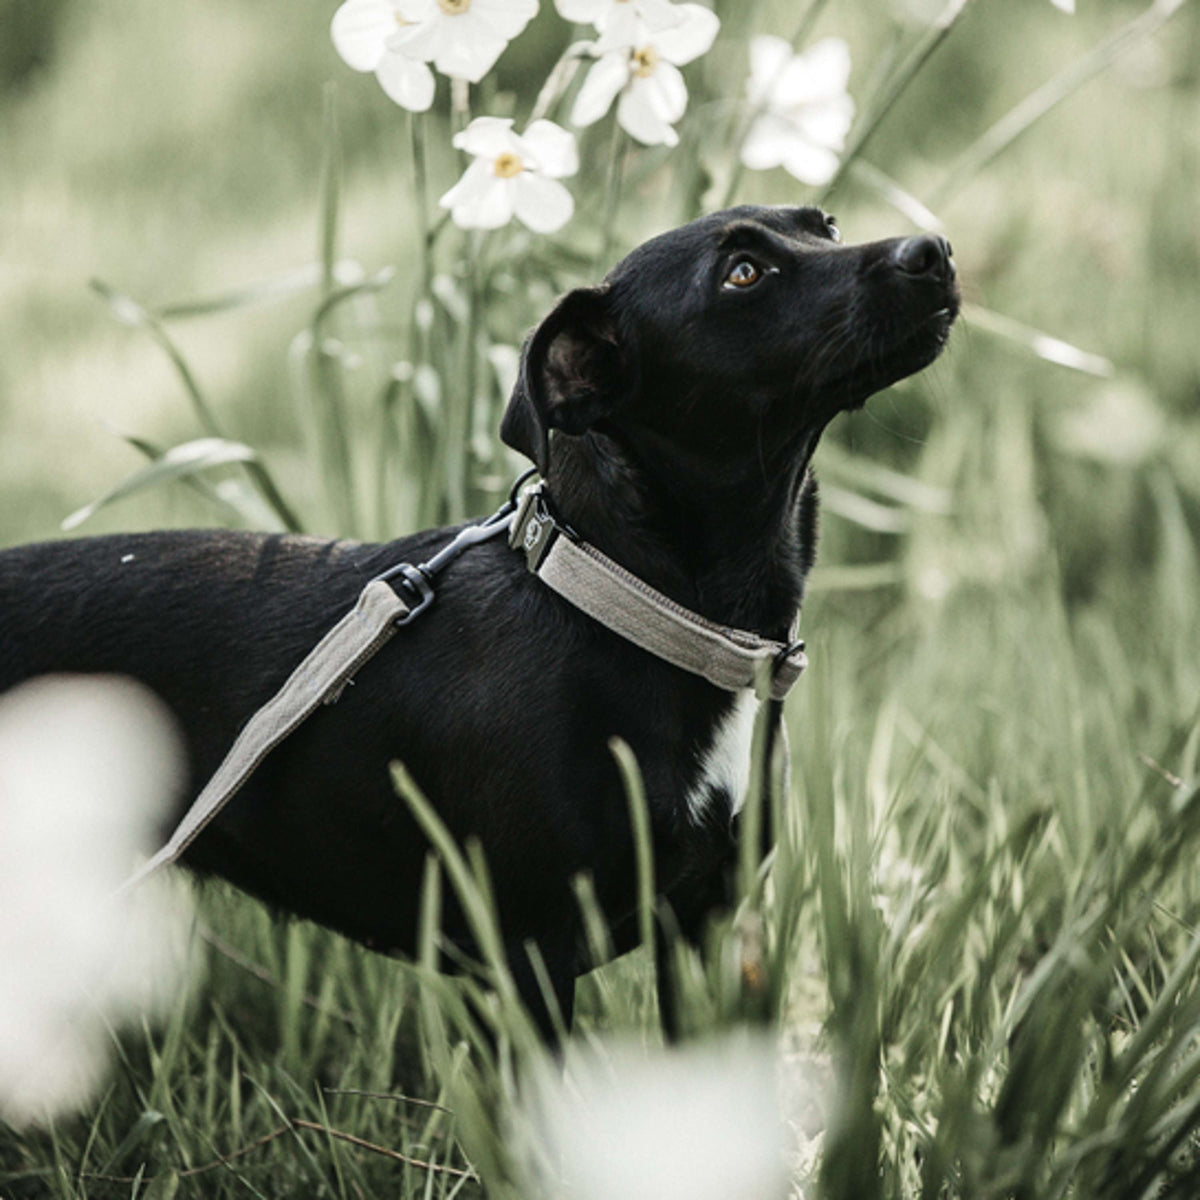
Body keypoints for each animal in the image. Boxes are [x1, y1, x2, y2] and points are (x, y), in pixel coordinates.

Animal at [0, 206, 955, 1041]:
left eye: (825, 225)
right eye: (743, 273)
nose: (933, 250)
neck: (633, 609)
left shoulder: (702, 929)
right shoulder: (531, 957)